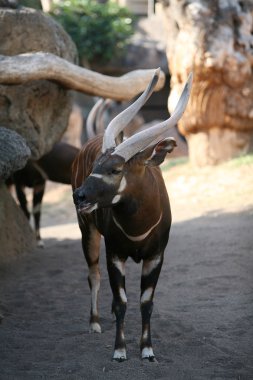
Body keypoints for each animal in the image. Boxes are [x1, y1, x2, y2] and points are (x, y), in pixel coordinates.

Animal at [71, 68, 192, 362]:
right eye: (95, 165)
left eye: (116, 169)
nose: (80, 196)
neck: (138, 225)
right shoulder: (115, 255)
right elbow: (121, 301)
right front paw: (120, 350)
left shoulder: (155, 257)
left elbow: (146, 302)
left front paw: (147, 350)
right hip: (87, 232)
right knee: (93, 275)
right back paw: (95, 323)